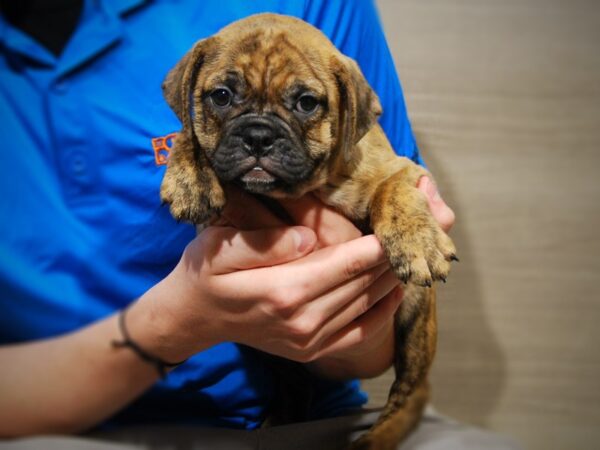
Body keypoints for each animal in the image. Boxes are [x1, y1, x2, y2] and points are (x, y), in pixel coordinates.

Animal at [158, 13, 454, 450]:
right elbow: (190, 131)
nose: (258, 136)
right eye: (222, 96)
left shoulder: (401, 169)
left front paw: (417, 239)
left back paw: (377, 437)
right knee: (295, 385)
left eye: (306, 103)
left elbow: (393, 192)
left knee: (411, 393)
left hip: (416, 321)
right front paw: (188, 176)